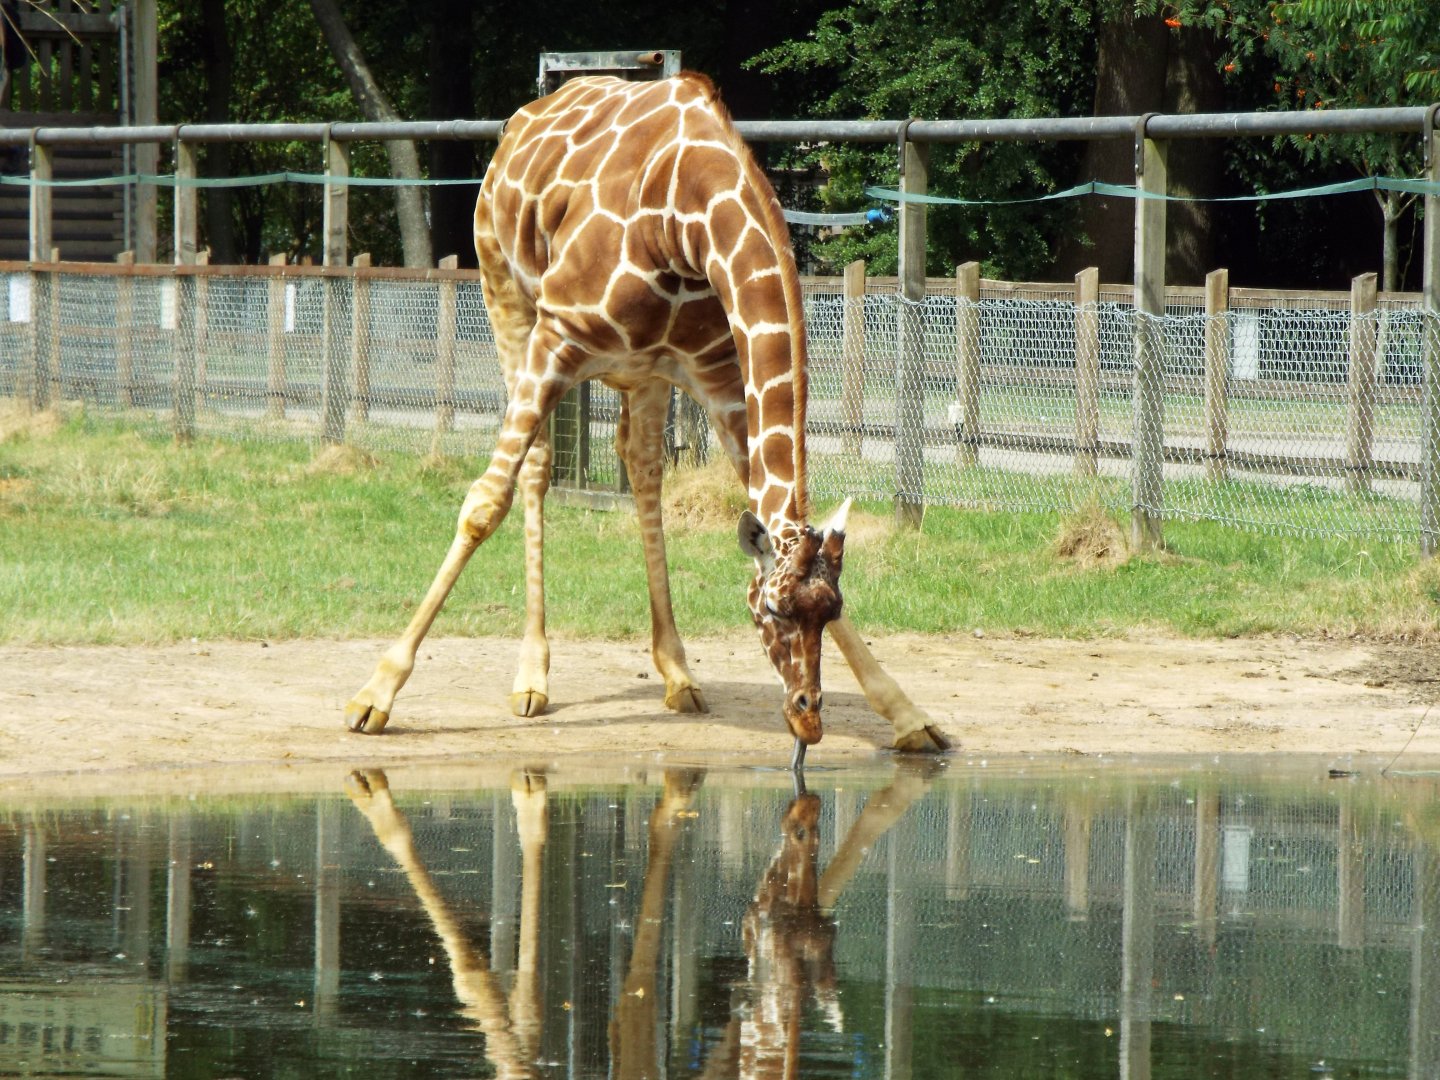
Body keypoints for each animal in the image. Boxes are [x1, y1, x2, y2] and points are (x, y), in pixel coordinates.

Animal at [343, 72, 950, 765]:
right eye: (770, 612)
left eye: (832, 609)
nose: (807, 719)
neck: (686, 221)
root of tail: (523, 119)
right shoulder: (557, 337)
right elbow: (482, 504)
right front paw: (375, 694)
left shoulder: (719, 376)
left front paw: (908, 715)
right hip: (506, 297)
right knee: (537, 469)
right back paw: (531, 678)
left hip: (648, 372)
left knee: (641, 469)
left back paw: (678, 673)